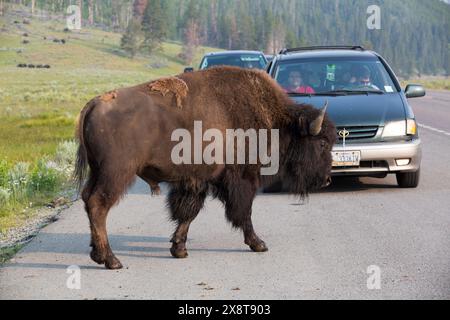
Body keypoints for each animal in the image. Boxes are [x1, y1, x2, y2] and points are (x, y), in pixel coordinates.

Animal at [74, 66, 334, 268]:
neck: (278, 120)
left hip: (98, 172)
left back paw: (97, 253)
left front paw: (179, 249)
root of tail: (93, 104)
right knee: (98, 205)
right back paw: (111, 260)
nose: (327, 179)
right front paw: (258, 244)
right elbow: (244, 212)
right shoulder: (241, 178)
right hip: (116, 174)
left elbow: (189, 212)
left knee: (87, 199)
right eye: (322, 142)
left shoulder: (198, 180)